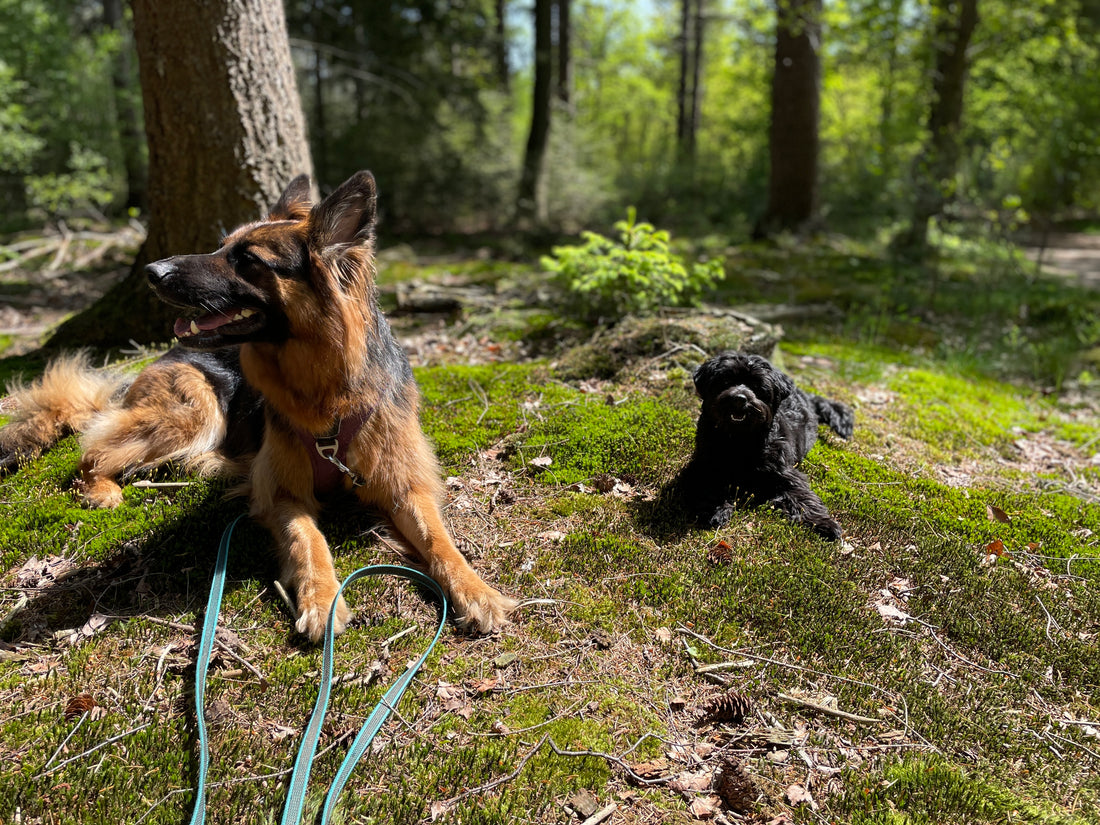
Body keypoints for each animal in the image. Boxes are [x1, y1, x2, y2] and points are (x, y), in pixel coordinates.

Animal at [1, 171, 514, 642]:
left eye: (247, 260)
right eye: (221, 247)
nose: (152, 272)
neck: (328, 394)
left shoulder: (407, 487)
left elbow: (440, 542)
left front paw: (477, 592)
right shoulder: (282, 495)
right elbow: (310, 542)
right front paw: (322, 600)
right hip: (194, 411)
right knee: (92, 451)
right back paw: (103, 489)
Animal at [682, 349, 853, 539]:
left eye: (757, 386)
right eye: (726, 381)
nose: (739, 399)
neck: (739, 440)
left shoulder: (784, 472)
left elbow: (803, 497)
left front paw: (823, 523)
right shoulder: (702, 465)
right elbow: (706, 484)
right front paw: (715, 509)